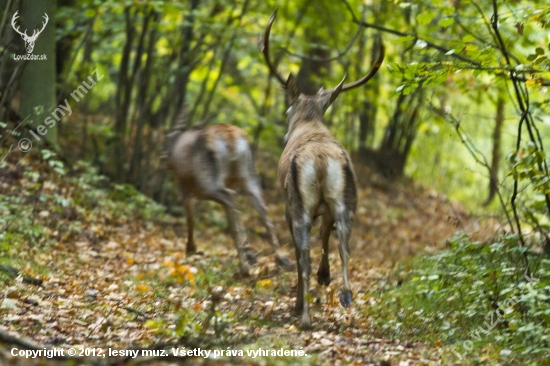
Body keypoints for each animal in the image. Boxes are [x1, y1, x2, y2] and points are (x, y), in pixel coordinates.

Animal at [164, 114, 294, 274]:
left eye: (167, 137)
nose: (164, 157)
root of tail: (230, 137)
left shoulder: (186, 190)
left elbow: (190, 218)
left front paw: (191, 249)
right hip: (248, 175)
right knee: (261, 207)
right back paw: (280, 259)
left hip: (210, 184)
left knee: (232, 199)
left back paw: (245, 265)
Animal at [262, 10, 384, 328]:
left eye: (288, 110)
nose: (284, 135)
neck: (310, 122)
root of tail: (318, 161)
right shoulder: (328, 209)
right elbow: (326, 236)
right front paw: (324, 277)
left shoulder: (287, 207)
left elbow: (300, 250)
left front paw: (299, 301)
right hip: (347, 199)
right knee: (345, 244)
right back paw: (345, 296)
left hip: (298, 204)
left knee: (303, 253)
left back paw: (304, 315)